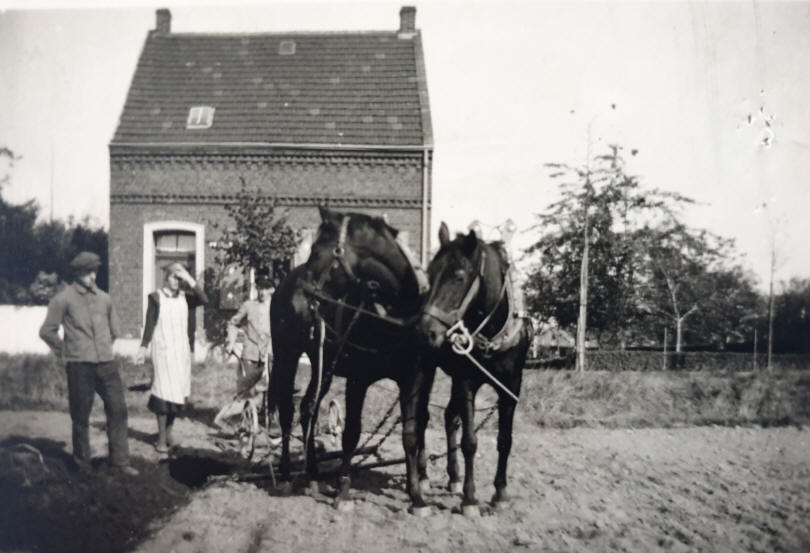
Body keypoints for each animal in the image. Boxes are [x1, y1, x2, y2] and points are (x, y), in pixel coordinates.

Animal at [266, 208, 436, 512]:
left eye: (317, 250)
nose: (303, 296)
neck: (394, 317)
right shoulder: (358, 379)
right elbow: (352, 433)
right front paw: (344, 490)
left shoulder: (413, 379)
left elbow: (410, 432)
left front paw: (416, 496)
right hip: (286, 355)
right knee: (287, 410)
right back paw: (286, 476)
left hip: (322, 365)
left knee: (308, 408)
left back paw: (313, 475)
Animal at [416, 222, 532, 516]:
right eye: (431, 275)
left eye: (458, 277)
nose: (425, 330)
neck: (493, 334)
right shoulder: (467, 381)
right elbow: (470, 442)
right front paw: (470, 499)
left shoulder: (511, 386)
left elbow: (505, 440)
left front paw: (500, 493)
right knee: (423, 417)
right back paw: (422, 476)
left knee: (449, 416)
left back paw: (454, 476)